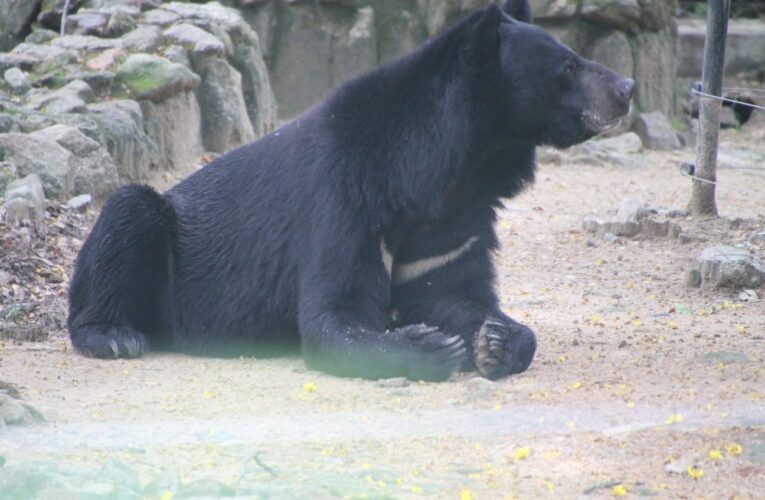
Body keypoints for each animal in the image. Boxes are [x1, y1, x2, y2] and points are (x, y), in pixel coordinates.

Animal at [70, 0, 632, 380]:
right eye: (568, 67)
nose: (626, 89)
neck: (458, 166)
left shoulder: (454, 223)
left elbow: (451, 291)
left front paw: (494, 339)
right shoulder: (345, 198)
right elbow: (334, 313)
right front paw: (429, 347)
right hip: (165, 241)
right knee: (127, 213)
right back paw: (115, 335)